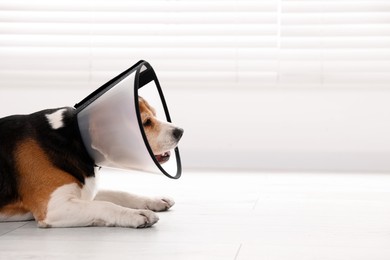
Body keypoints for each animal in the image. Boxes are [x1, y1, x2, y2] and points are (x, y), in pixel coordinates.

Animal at [0, 97, 184, 228]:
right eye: (145, 122)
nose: (180, 131)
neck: (74, 138)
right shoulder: (54, 207)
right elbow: (106, 205)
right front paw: (137, 214)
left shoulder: (86, 191)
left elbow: (120, 194)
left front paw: (155, 200)